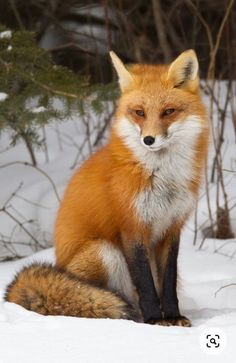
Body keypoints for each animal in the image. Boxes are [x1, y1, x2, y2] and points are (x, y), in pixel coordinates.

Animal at [5, 50, 208, 328]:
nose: (149, 140)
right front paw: (155, 320)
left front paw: (173, 317)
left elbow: (166, 284)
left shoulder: (171, 228)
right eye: (139, 112)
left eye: (168, 111)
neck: (161, 175)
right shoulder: (132, 227)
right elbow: (146, 284)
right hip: (104, 251)